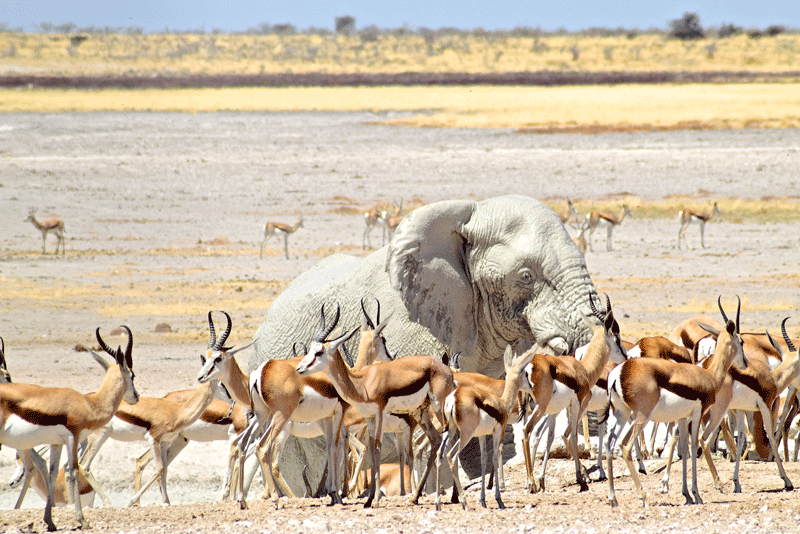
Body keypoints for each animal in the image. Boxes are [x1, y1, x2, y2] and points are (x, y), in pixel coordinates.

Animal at [0, 326, 138, 532]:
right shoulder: (74, 436)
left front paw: (50, 522)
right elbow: (73, 471)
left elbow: (52, 472)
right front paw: (82, 520)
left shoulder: (57, 442)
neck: (90, 404)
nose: (136, 397)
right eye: (133, 375)